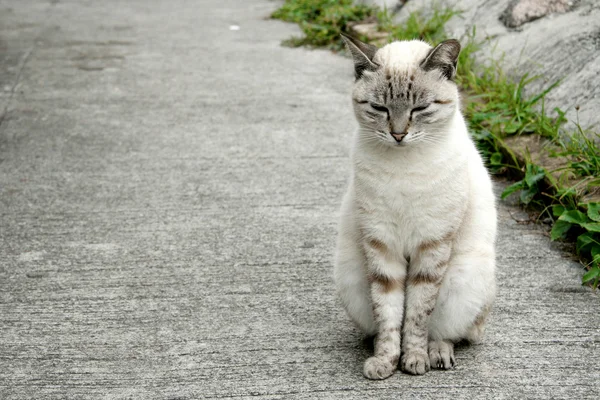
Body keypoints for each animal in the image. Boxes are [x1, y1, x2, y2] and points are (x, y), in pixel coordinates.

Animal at [332, 32, 496, 380]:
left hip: (464, 281)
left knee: (448, 332)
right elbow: (389, 314)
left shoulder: (432, 246)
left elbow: (418, 315)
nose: (398, 134)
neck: (403, 165)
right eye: (379, 107)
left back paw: (438, 353)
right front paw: (386, 361)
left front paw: (415, 359)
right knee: (376, 326)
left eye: (420, 108)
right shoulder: (381, 245)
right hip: (351, 275)